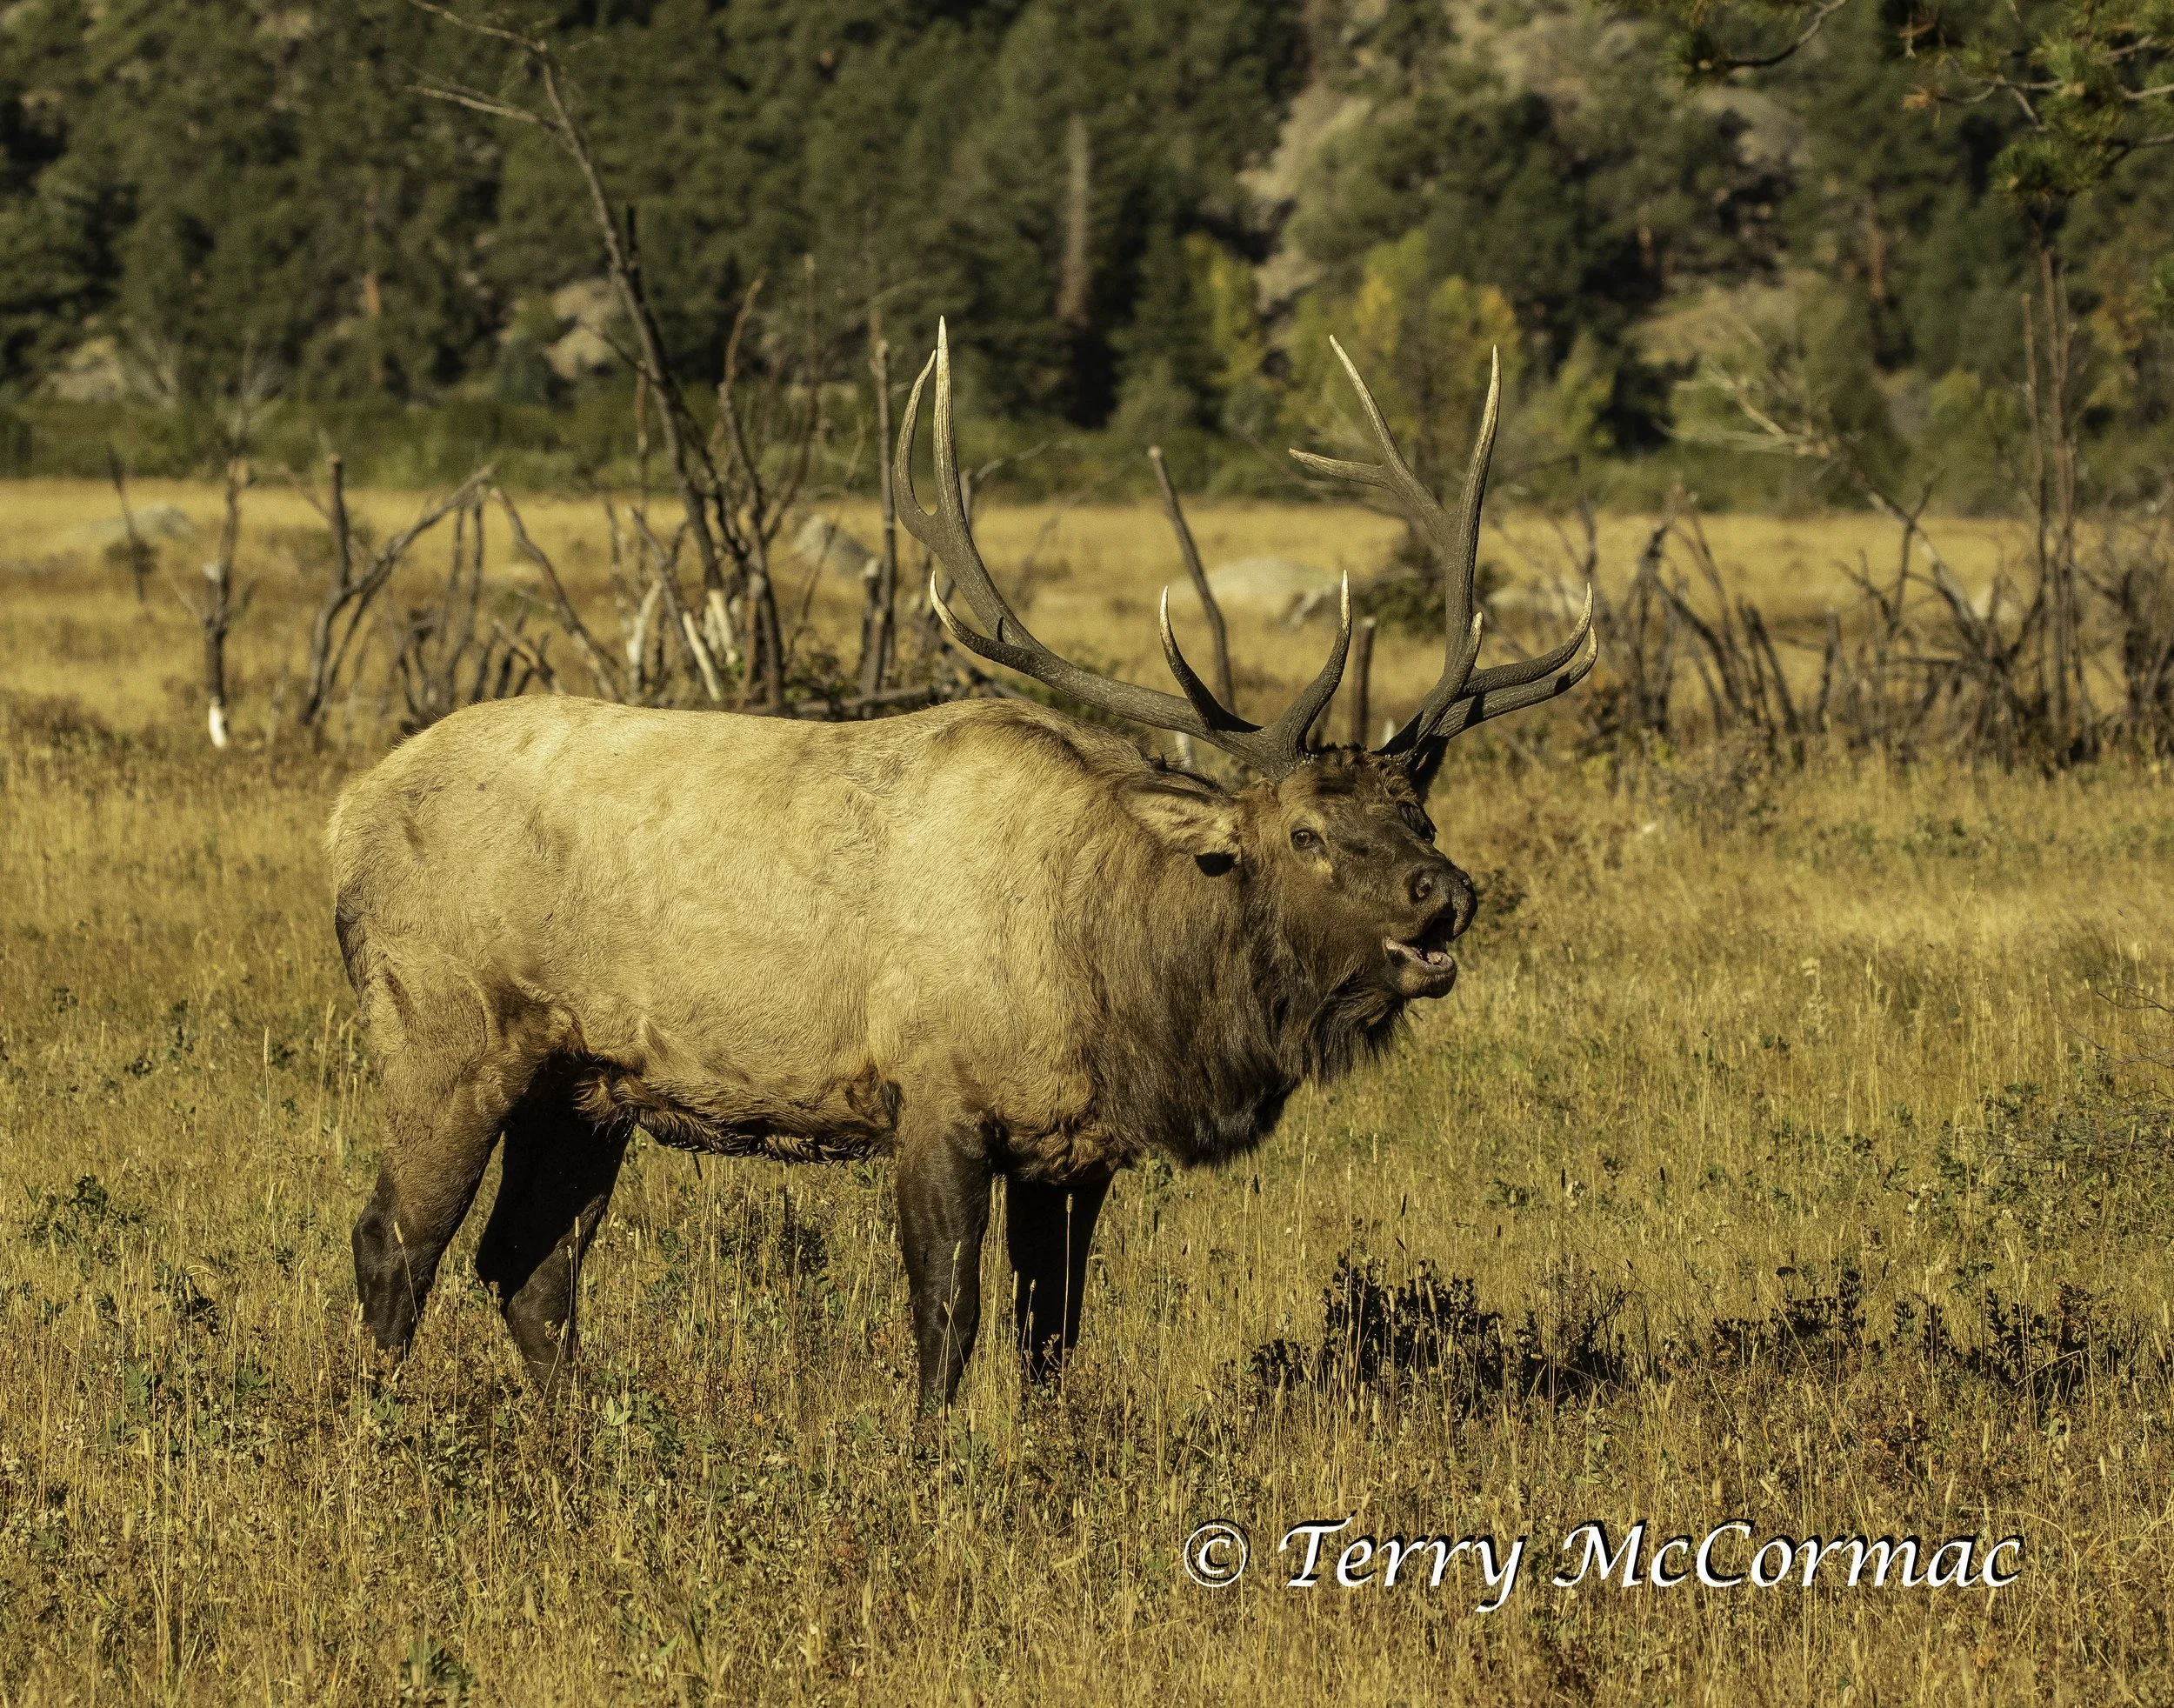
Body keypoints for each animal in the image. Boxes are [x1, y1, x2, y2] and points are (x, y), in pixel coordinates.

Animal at [329, 325, 1594, 1411]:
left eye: (1416, 806)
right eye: (1306, 836)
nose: (1447, 898)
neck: (1119, 976)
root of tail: (344, 821)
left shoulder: (1075, 1151)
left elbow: (1052, 1334)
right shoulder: (935, 1094)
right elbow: (948, 1318)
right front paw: (931, 1468)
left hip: (584, 1085)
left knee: (529, 1266)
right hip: (444, 1030)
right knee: (395, 1241)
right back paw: (378, 1435)